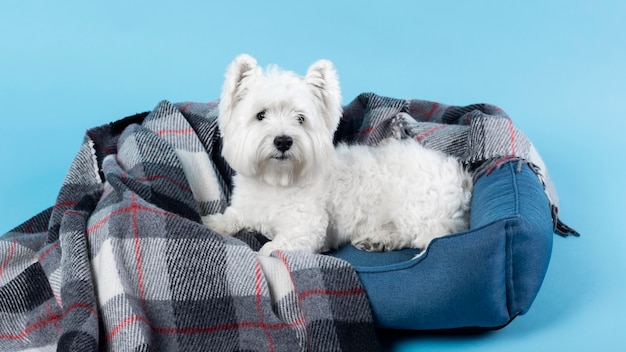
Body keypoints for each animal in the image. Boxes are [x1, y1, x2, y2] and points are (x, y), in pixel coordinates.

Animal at [202, 53, 470, 256]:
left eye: (300, 119)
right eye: (260, 115)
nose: (283, 141)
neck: (276, 180)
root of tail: (460, 177)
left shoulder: (305, 227)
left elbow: (274, 249)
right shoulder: (246, 207)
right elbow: (232, 216)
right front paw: (211, 222)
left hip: (415, 209)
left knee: (428, 235)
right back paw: (376, 239)